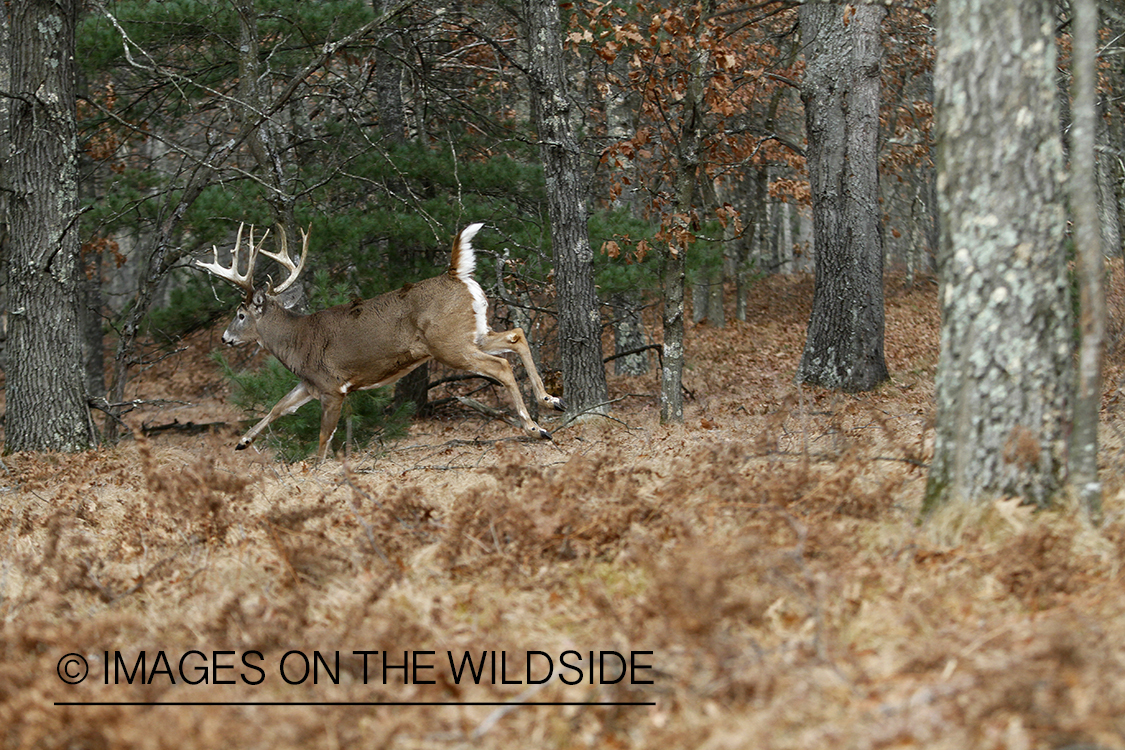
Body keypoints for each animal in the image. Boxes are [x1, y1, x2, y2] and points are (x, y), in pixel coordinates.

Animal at [198, 221, 562, 463]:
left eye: (240, 314)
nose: (225, 338)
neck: (296, 342)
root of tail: (454, 274)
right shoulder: (310, 384)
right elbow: (278, 406)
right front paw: (243, 441)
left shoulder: (332, 386)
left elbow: (322, 440)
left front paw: (316, 471)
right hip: (471, 332)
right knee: (516, 335)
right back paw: (550, 400)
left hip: (449, 344)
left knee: (500, 365)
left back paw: (536, 428)